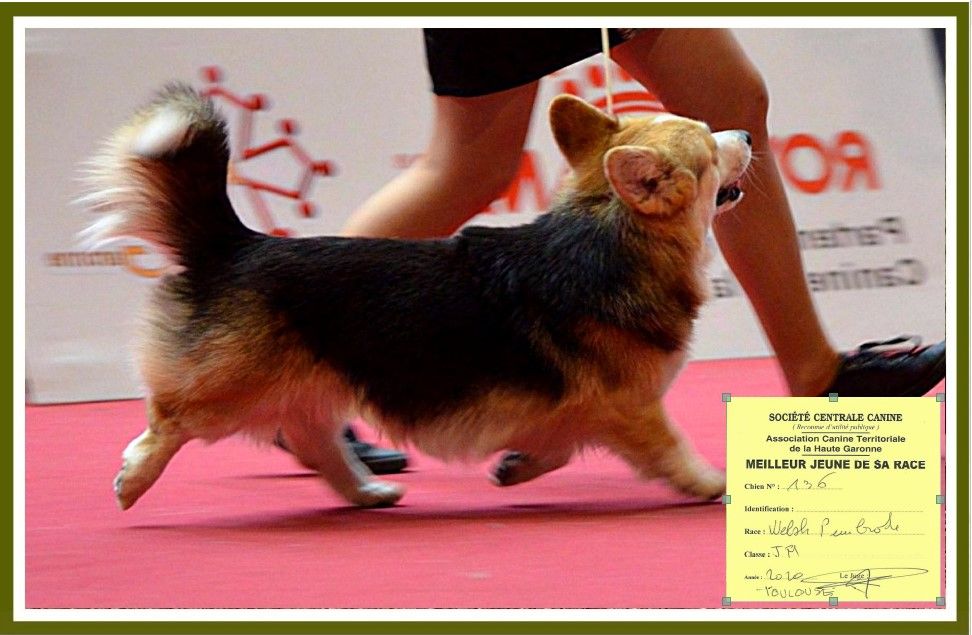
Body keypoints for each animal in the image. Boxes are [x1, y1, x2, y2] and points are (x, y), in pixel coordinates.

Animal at [81, 85, 751, 510]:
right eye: (708, 144)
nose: (746, 129)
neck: (609, 230)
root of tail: (237, 244)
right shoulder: (631, 409)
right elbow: (672, 451)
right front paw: (710, 483)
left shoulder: (577, 410)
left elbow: (554, 448)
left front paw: (514, 469)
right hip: (230, 390)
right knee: (170, 420)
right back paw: (132, 479)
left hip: (311, 388)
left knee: (315, 443)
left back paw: (366, 493)